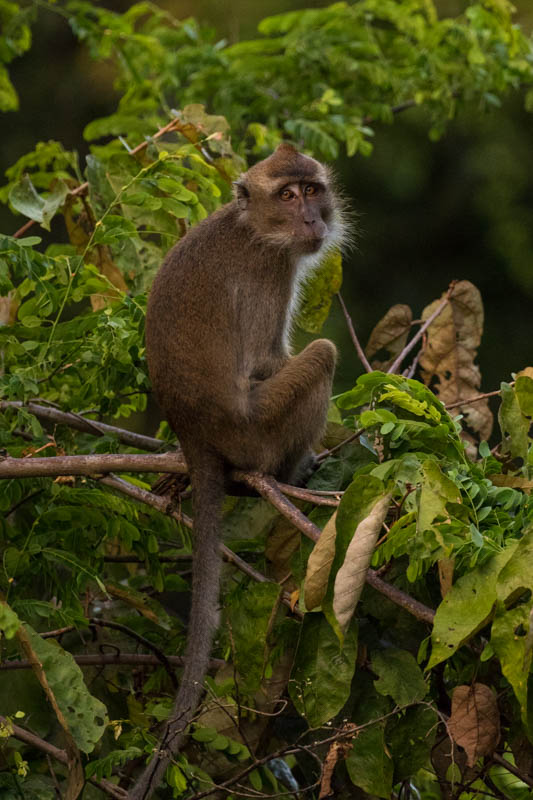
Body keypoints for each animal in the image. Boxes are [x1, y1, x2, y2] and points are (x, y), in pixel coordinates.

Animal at [134, 145, 344, 800]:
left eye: (312, 189)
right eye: (289, 196)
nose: (312, 219)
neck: (254, 226)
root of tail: (196, 435)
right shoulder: (269, 272)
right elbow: (261, 363)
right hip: (257, 431)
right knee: (321, 355)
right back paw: (293, 468)